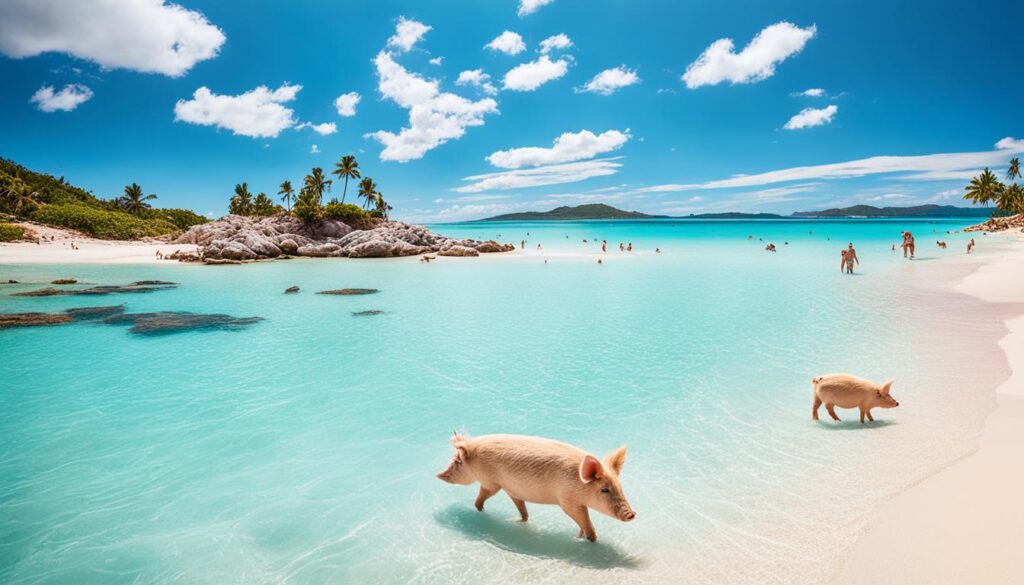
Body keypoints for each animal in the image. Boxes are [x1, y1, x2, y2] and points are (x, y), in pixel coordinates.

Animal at [436, 433, 635, 542]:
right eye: (604, 489)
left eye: (618, 486)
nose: (632, 514)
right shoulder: (567, 501)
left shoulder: (504, 486)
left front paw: (583, 538)